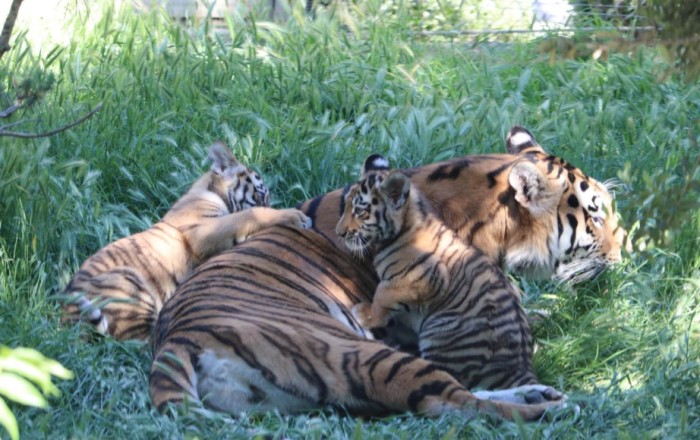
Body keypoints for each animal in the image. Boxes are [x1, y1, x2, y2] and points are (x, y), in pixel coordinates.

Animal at [61, 141, 312, 341]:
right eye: (261, 195)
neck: (209, 190)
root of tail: (65, 314)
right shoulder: (202, 232)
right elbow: (249, 214)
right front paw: (295, 216)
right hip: (127, 283)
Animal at [336, 154, 542, 390]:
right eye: (345, 207)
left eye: (360, 211)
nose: (339, 233)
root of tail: (521, 365)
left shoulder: (420, 279)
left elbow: (382, 294)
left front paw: (365, 314)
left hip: (440, 331)